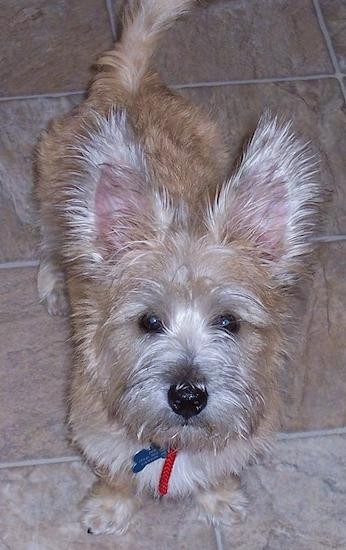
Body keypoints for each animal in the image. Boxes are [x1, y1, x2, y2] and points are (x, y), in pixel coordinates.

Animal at [35, 0, 324, 536]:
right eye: (149, 321)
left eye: (229, 322)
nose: (188, 397)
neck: (175, 443)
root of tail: (130, 82)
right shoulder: (95, 432)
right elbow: (117, 475)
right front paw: (109, 508)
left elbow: (218, 469)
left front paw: (220, 499)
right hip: (51, 194)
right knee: (52, 239)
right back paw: (52, 281)